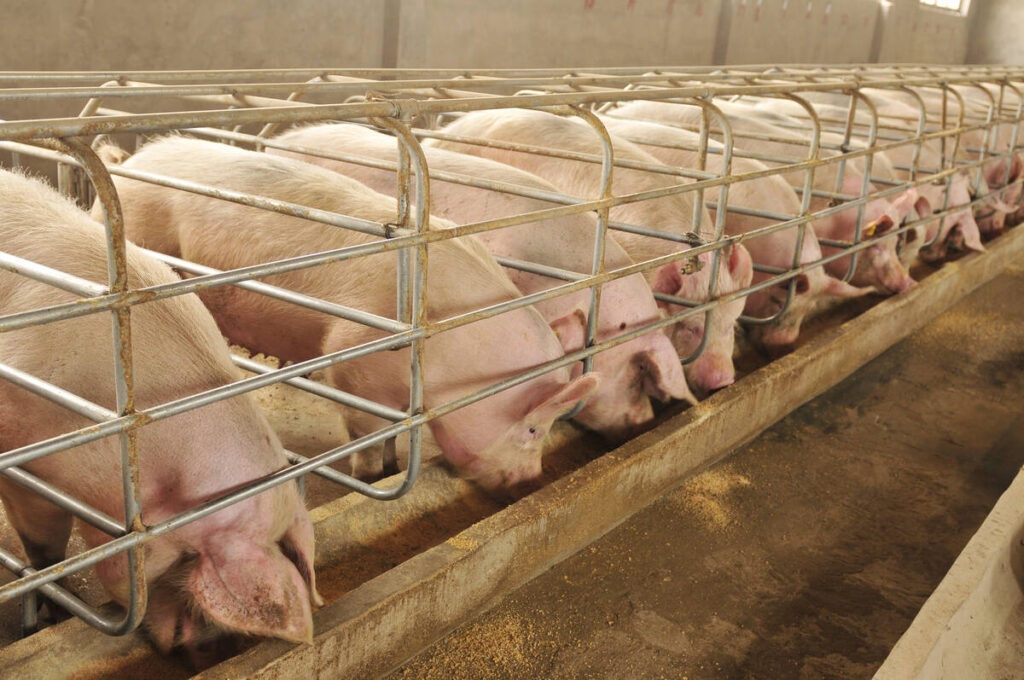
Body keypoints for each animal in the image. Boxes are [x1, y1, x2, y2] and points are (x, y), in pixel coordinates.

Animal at [102, 136, 598, 494]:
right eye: (532, 427)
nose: (530, 480)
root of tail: (129, 161)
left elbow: (394, 432)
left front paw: (395, 464)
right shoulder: (352, 358)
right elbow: (368, 431)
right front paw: (373, 476)